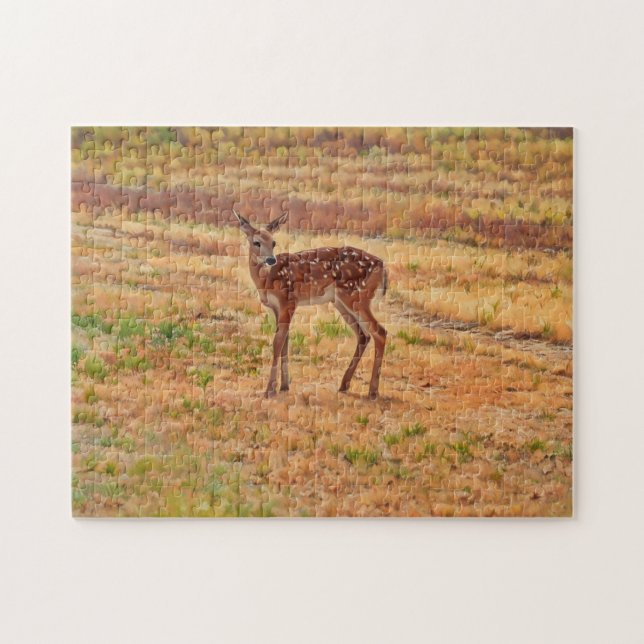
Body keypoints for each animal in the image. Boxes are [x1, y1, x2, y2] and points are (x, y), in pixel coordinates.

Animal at [232, 210, 388, 400]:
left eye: (273, 242)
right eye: (256, 242)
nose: (270, 260)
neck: (267, 279)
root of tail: (382, 266)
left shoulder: (288, 301)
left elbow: (277, 342)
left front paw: (270, 389)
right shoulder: (278, 308)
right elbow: (284, 342)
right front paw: (284, 386)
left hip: (356, 296)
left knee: (380, 331)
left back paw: (373, 391)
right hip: (341, 301)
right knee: (363, 335)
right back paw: (344, 385)